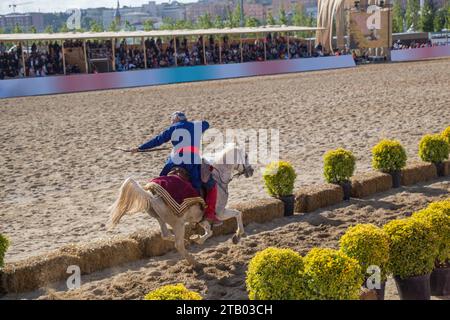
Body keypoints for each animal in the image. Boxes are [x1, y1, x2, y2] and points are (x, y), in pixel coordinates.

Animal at [108, 145, 253, 264]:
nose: (251, 170)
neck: (218, 175)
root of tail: (151, 194)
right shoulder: (220, 212)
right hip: (178, 224)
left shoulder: (200, 217)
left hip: (160, 219)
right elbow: (238, 214)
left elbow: (209, 231)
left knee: (166, 235)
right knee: (178, 245)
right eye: (245, 156)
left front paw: (198, 239)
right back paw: (194, 261)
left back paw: (186, 242)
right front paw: (237, 235)